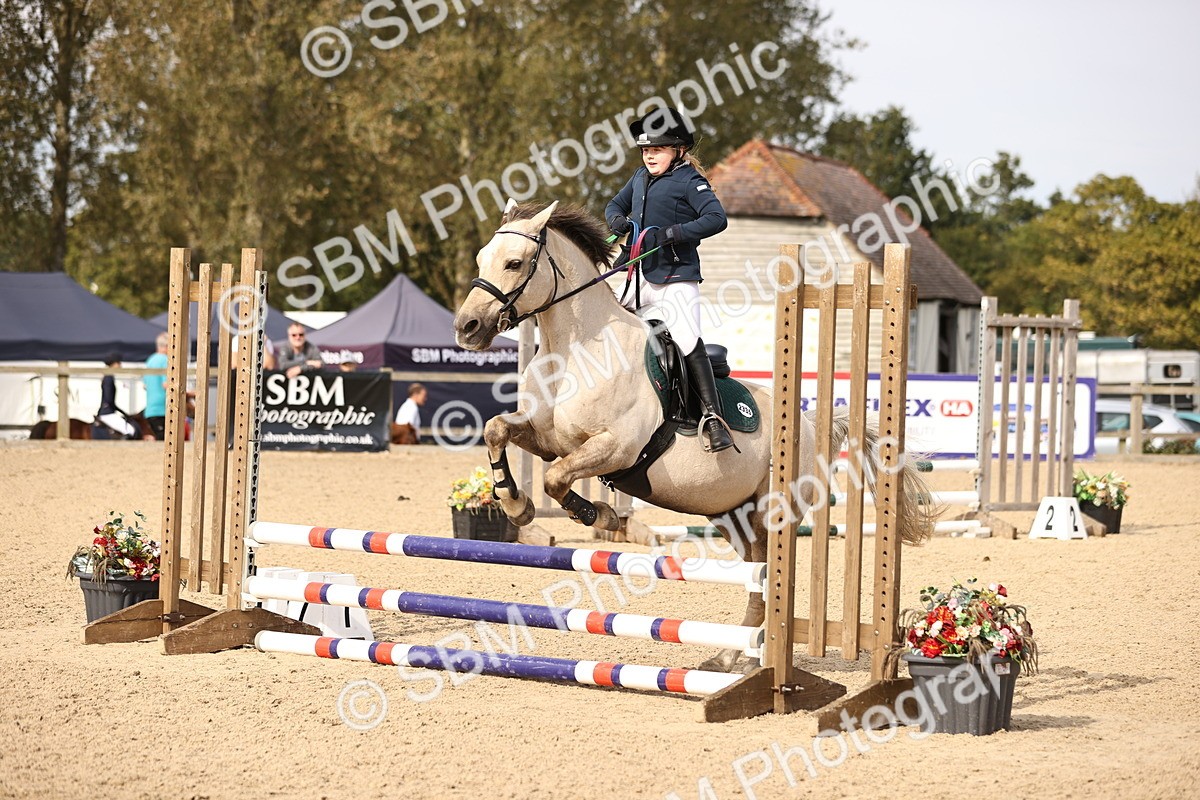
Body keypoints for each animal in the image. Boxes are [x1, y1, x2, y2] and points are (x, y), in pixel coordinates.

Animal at [452, 200, 935, 672]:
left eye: (514, 263)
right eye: (481, 258)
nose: (467, 327)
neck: (576, 350)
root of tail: (811, 424)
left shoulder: (615, 448)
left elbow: (556, 479)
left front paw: (601, 516)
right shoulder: (547, 438)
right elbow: (497, 431)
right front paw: (516, 504)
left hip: (771, 512)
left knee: (768, 576)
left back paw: (747, 659)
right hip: (731, 516)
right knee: (757, 575)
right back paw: (734, 656)